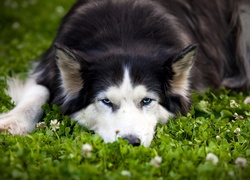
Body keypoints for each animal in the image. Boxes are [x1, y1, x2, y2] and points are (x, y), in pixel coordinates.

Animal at [0, 0, 250, 146]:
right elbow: (38, 92)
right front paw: (13, 121)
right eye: (106, 101)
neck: (123, 35)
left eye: (147, 101)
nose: (130, 142)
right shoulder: (47, 67)